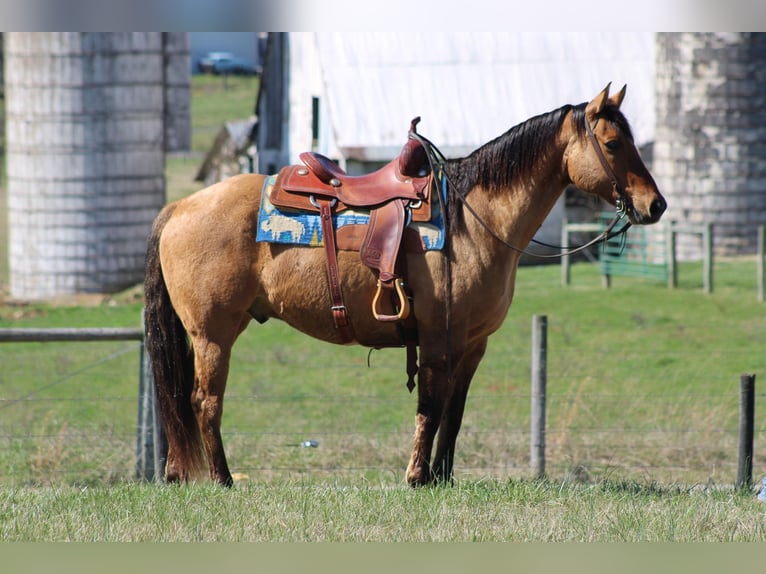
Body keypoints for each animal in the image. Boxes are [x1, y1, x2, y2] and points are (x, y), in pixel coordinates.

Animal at [144, 85, 664, 488]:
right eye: (613, 143)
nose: (655, 205)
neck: (474, 221)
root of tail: (179, 207)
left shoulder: (473, 345)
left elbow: (453, 413)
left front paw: (442, 477)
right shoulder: (438, 339)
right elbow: (430, 409)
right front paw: (417, 477)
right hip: (212, 335)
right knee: (204, 402)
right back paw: (223, 480)